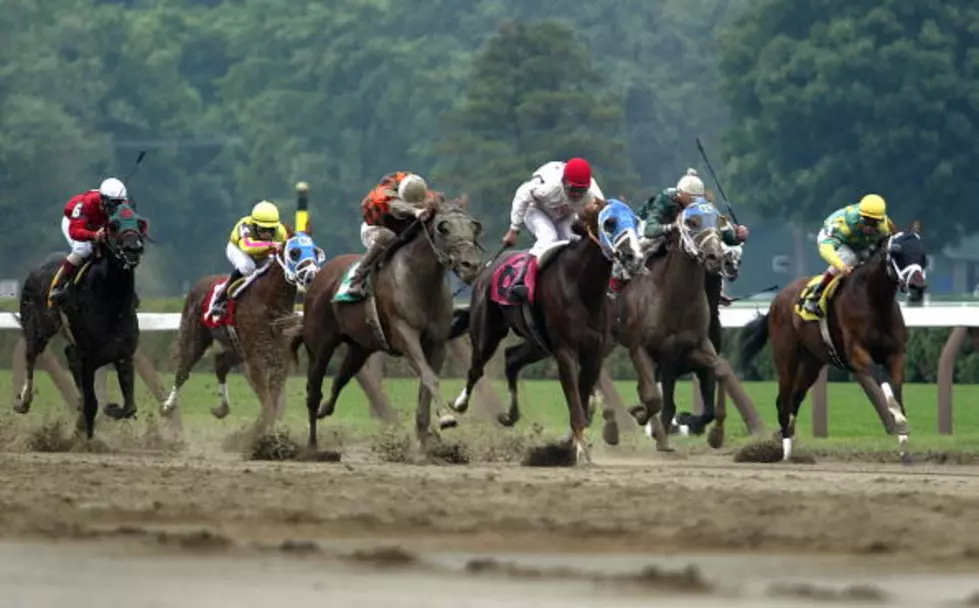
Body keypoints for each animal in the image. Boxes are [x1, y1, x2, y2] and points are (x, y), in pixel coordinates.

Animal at [14, 202, 147, 440]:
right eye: (113, 225)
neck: (111, 303)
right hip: (36, 329)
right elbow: (91, 404)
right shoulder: (88, 359)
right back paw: (24, 400)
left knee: (69, 357)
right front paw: (86, 438)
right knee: (30, 356)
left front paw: (111, 408)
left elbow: (129, 406)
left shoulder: (123, 354)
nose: (133, 248)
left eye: (139, 223)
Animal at [163, 230, 324, 434]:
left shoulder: (279, 355)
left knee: (220, 364)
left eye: (315, 250)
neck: (269, 301)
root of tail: (197, 284)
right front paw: (262, 431)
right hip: (194, 337)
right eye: (294, 252)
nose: (312, 276)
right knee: (183, 370)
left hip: (235, 347)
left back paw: (222, 407)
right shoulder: (255, 358)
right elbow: (267, 398)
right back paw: (167, 406)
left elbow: (273, 394)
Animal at [288, 195, 486, 452]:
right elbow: (429, 377)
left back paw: (325, 410)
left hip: (360, 346)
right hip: (320, 344)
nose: (471, 265)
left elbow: (426, 386)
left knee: (341, 378)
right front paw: (446, 417)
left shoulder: (437, 343)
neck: (419, 281)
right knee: (313, 391)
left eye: (474, 227)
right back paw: (312, 444)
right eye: (444, 228)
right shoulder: (405, 335)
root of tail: (319, 276)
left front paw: (424, 445)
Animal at [446, 197, 648, 464]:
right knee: (476, 368)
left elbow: (583, 398)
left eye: (635, 221)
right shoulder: (565, 352)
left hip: (538, 344)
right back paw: (458, 405)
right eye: (609, 222)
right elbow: (576, 402)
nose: (634, 257)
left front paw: (574, 444)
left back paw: (509, 414)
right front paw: (580, 450)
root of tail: (487, 268)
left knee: (511, 358)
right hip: (487, 331)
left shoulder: (593, 353)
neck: (582, 287)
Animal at [740, 230, 932, 464]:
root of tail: (777, 300)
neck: (874, 301)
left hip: (811, 363)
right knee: (783, 401)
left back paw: (791, 449)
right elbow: (881, 376)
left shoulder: (896, 354)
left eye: (922, 254)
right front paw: (900, 422)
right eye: (897, 253)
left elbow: (896, 391)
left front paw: (904, 444)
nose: (917, 286)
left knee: (795, 399)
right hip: (786, 357)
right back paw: (785, 452)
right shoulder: (856, 353)